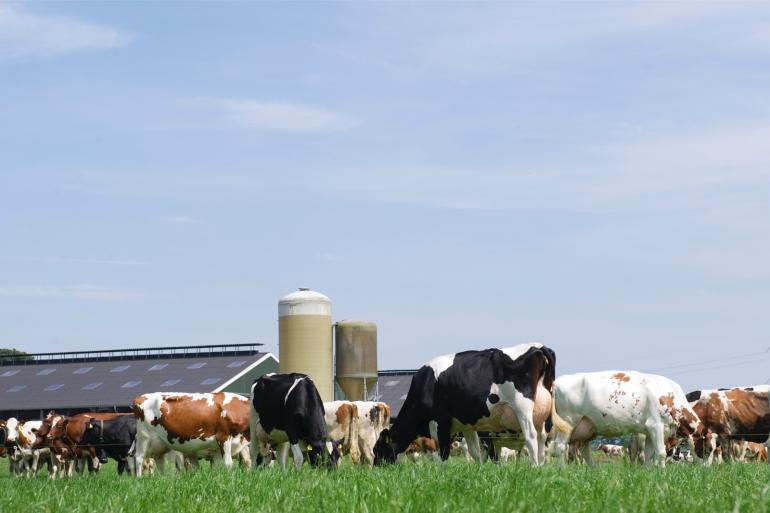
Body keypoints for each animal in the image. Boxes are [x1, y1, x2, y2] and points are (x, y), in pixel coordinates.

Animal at [372, 342, 552, 466]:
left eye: (377, 449)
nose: (376, 469)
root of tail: (538, 347)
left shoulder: (441, 423)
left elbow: (444, 454)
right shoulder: (466, 426)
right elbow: (475, 452)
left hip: (522, 407)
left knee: (531, 436)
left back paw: (533, 467)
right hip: (543, 416)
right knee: (541, 439)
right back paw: (541, 466)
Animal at [552, 370, 708, 466]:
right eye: (708, 448)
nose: (708, 469)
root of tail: (558, 381)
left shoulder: (648, 431)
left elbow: (649, 455)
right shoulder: (655, 425)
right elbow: (661, 453)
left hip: (587, 428)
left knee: (583, 451)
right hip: (568, 422)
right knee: (560, 447)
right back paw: (563, 470)